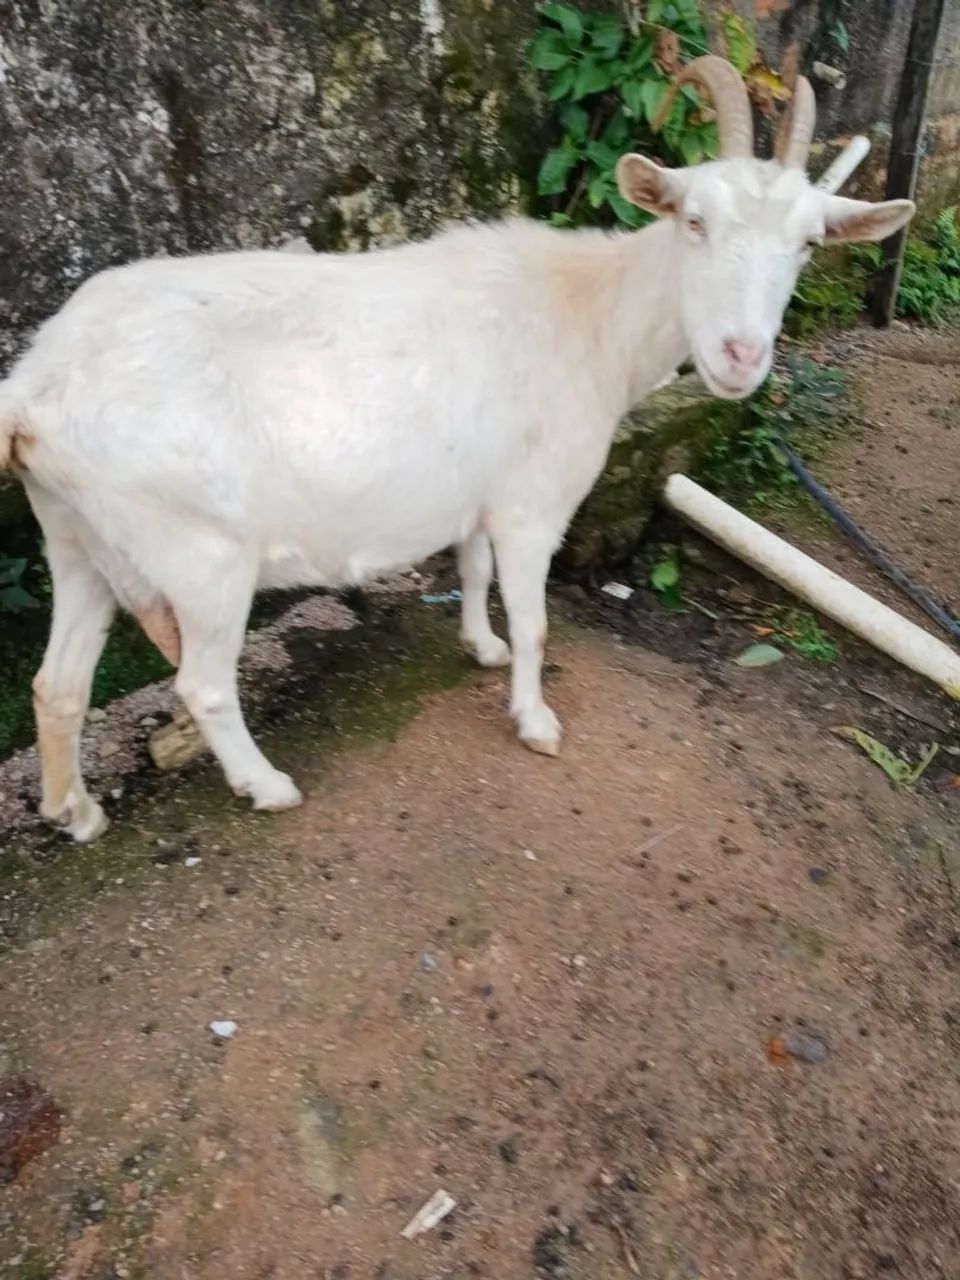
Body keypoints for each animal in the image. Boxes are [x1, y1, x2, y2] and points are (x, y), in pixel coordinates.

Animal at [0, 56, 914, 842]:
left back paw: (75, 813)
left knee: (57, 683)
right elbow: (538, 621)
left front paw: (480, 646)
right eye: (696, 220)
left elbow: (473, 571)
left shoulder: (480, 493)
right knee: (202, 682)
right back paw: (265, 785)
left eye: (807, 243)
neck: (591, 317)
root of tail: (36, 385)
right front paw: (535, 720)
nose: (740, 357)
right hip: (198, 552)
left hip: (77, 536)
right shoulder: (533, 506)